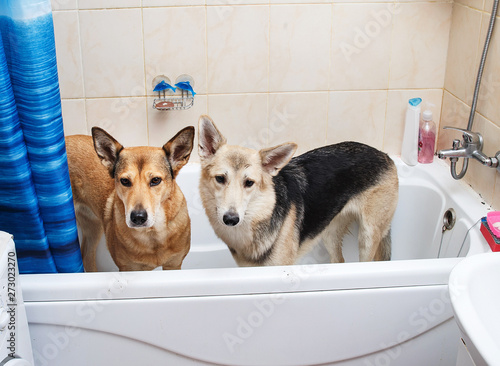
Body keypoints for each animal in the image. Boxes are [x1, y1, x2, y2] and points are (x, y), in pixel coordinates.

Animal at [64, 126, 193, 272]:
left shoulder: (173, 265)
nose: (138, 217)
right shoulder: (128, 268)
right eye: (125, 181)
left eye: (155, 180)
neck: (152, 234)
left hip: (93, 227)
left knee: (87, 255)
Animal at [198, 116, 398, 268]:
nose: (231, 219)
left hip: (367, 237)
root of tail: (386, 156)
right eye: (220, 179)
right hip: (329, 233)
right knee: (339, 260)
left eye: (249, 183)